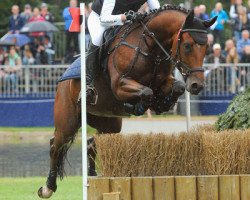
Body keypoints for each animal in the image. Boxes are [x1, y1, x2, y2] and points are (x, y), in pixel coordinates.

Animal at [37, 5, 217, 198]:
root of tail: (63, 77)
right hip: (68, 121)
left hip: (108, 123)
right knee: (56, 144)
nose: (197, 85)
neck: (151, 48)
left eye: (206, 47)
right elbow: (146, 92)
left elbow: (177, 87)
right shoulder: (120, 84)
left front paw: (162, 104)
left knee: (92, 143)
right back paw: (48, 187)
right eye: (187, 45)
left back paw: (92, 174)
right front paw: (138, 106)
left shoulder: (164, 82)